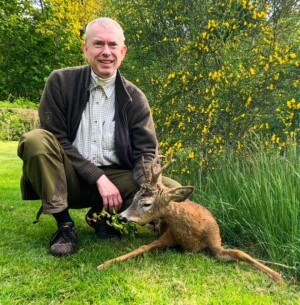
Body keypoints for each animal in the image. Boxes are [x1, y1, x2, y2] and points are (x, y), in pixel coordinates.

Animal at [97, 156, 284, 284]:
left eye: (146, 203)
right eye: (134, 197)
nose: (122, 216)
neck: (191, 235)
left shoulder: (215, 243)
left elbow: (240, 253)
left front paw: (277, 275)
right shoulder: (168, 236)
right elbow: (141, 248)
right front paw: (104, 264)